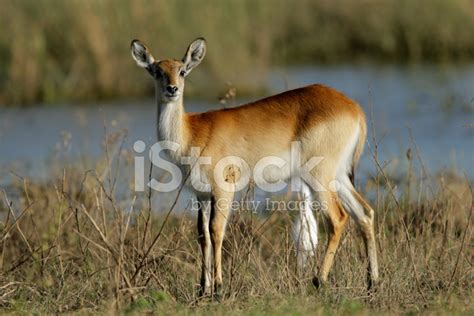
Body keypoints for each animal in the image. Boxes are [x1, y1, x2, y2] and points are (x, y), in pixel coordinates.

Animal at [131, 38, 380, 298]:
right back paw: (372, 283)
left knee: (338, 218)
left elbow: (216, 231)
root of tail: (354, 108)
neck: (192, 132)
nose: (172, 89)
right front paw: (203, 289)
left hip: (319, 177)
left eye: (182, 71)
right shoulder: (202, 194)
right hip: (338, 177)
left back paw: (319, 280)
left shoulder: (224, 189)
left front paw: (218, 288)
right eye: (157, 71)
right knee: (364, 213)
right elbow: (203, 235)